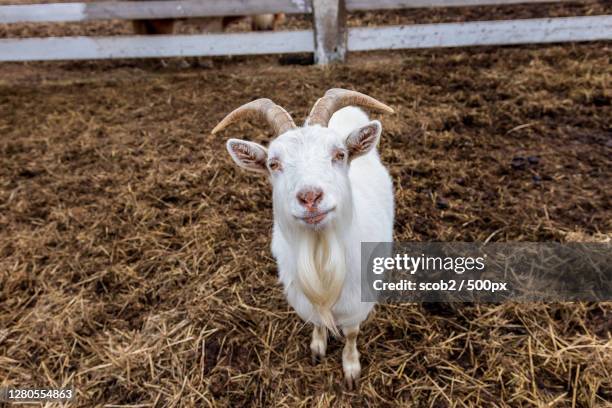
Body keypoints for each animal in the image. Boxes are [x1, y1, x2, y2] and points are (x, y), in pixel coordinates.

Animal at [213, 89, 394, 388]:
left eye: (339, 154)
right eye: (273, 164)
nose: (310, 197)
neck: (321, 251)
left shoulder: (357, 305)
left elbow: (352, 334)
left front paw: (351, 368)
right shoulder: (305, 301)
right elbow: (318, 323)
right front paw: (317, 348)